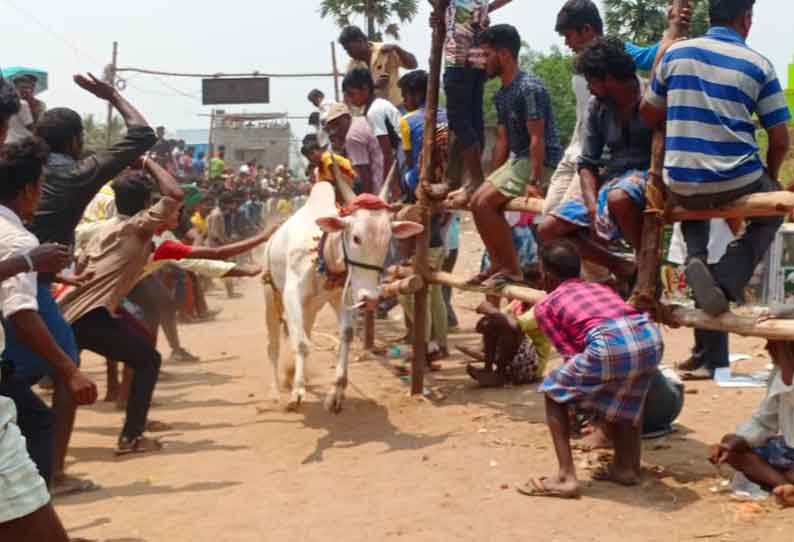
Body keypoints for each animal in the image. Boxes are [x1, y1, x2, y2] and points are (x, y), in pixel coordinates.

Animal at [262, 178, 424, 412]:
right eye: (356, 238)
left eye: (388, 241)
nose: (371, 298)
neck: (323, 253)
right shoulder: (291, 296)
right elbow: (300, 343)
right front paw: (297, 392)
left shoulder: (343, 299)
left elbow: (346, 335)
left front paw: (336, 392)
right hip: (271, 295)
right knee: (273, 345)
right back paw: (275, 391)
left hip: (311, 307)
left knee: (306, 331)